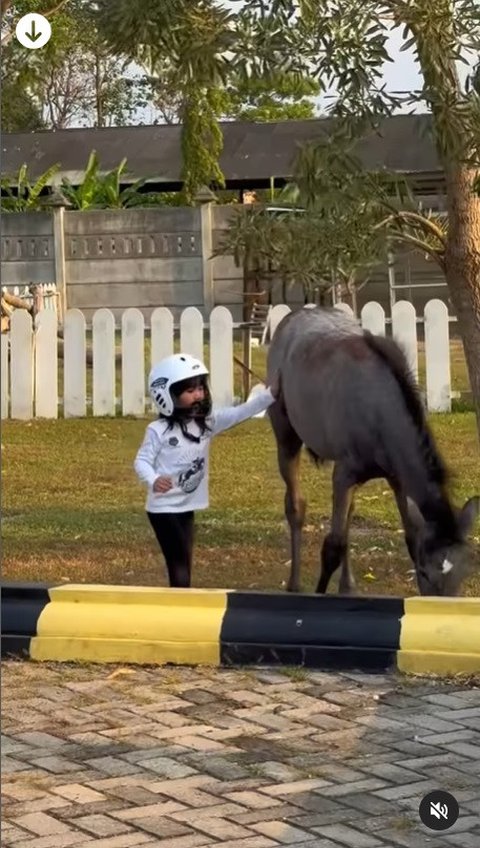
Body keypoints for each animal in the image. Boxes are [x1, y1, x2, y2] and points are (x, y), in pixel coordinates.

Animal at [266, 306, 480, 596]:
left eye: (463, 574)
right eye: (425, 573)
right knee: (295, 506)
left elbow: (409, 538)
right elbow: (333, 547)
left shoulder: (397, 480)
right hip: (286, 439)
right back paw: (294, 583)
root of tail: (293, 316)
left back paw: (347, 586)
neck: (379, 411)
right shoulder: (343, 474)